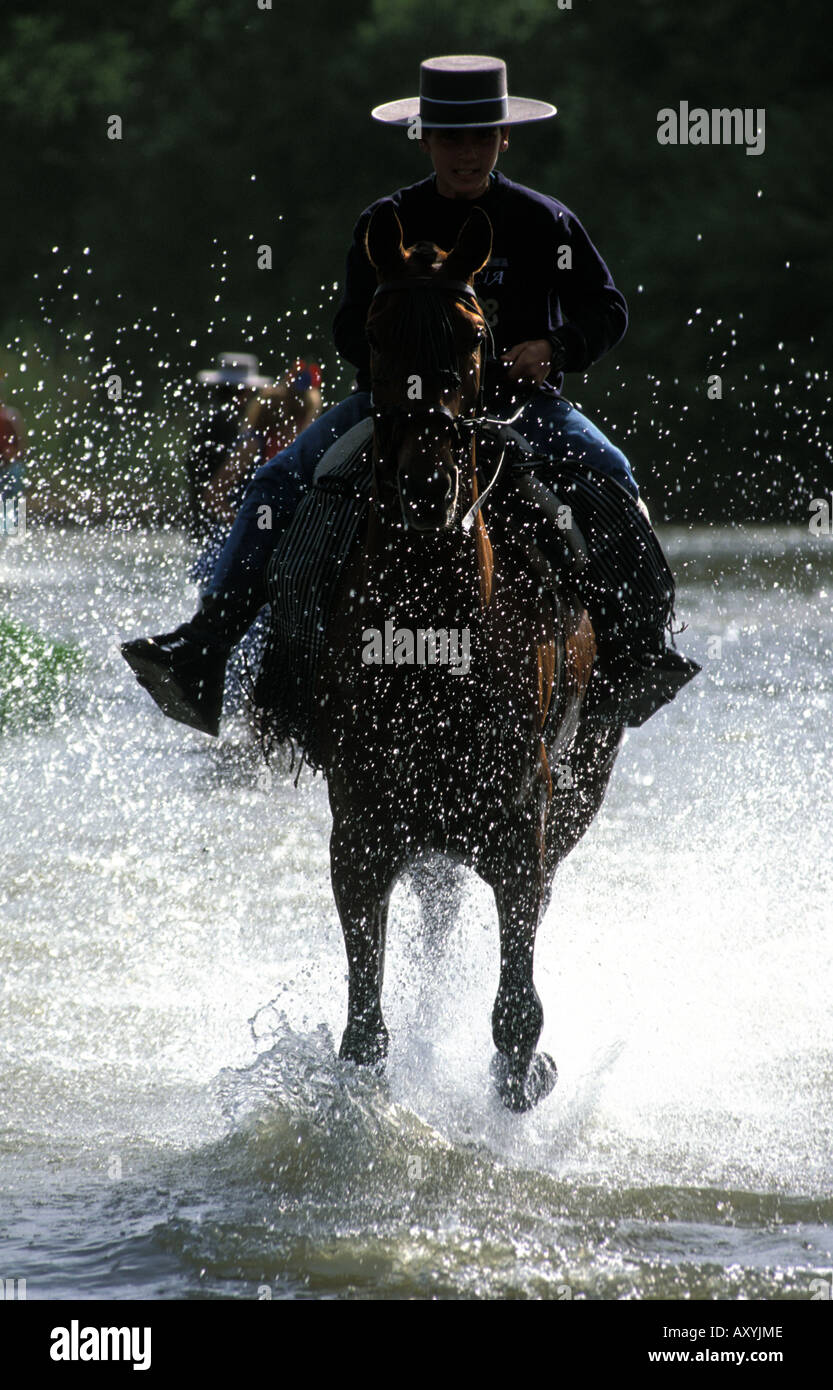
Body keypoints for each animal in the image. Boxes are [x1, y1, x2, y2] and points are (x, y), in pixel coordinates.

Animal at [310, 205, 623, 1112]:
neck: (435, 633)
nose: (426, 486)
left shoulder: (522, 823)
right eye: (375, 331)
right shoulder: (363, 828)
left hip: (578, 790)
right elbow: (364, 1031)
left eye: (475, 332)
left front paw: (525, 1079)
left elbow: (516, 1014)